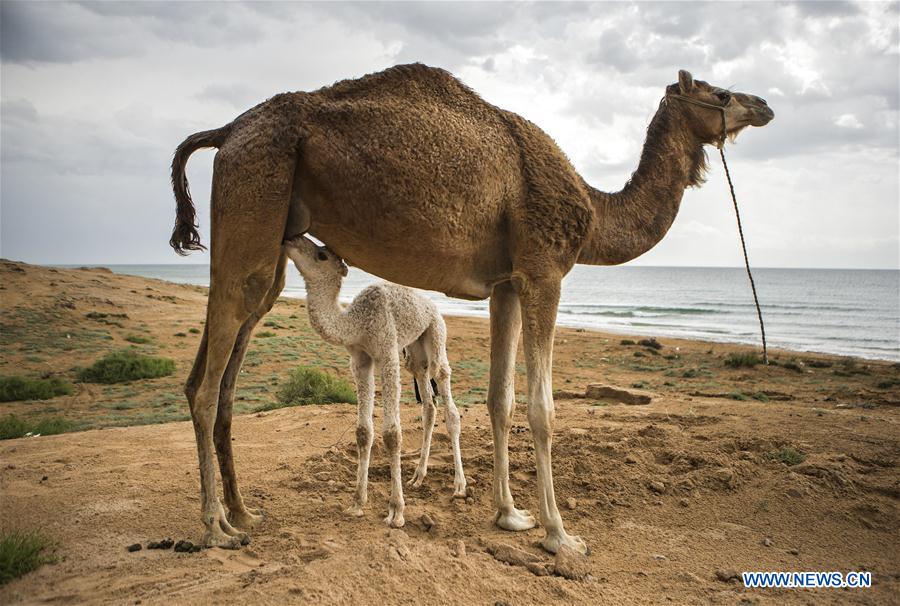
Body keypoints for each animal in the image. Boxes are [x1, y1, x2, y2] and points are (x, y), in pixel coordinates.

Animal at [284, 234, 468, 528]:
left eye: (322, 255)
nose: (291, 239)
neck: (357, 323)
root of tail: (431, 305)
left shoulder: (387, 354)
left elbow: (392, 434)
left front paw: (396, 511)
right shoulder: (360, 360)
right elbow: (363, 432)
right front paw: (357, 503)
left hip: (436, 329)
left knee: (444, 386)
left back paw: (459, 486)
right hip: (415, 350)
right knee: (428, 402)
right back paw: (418, 477)